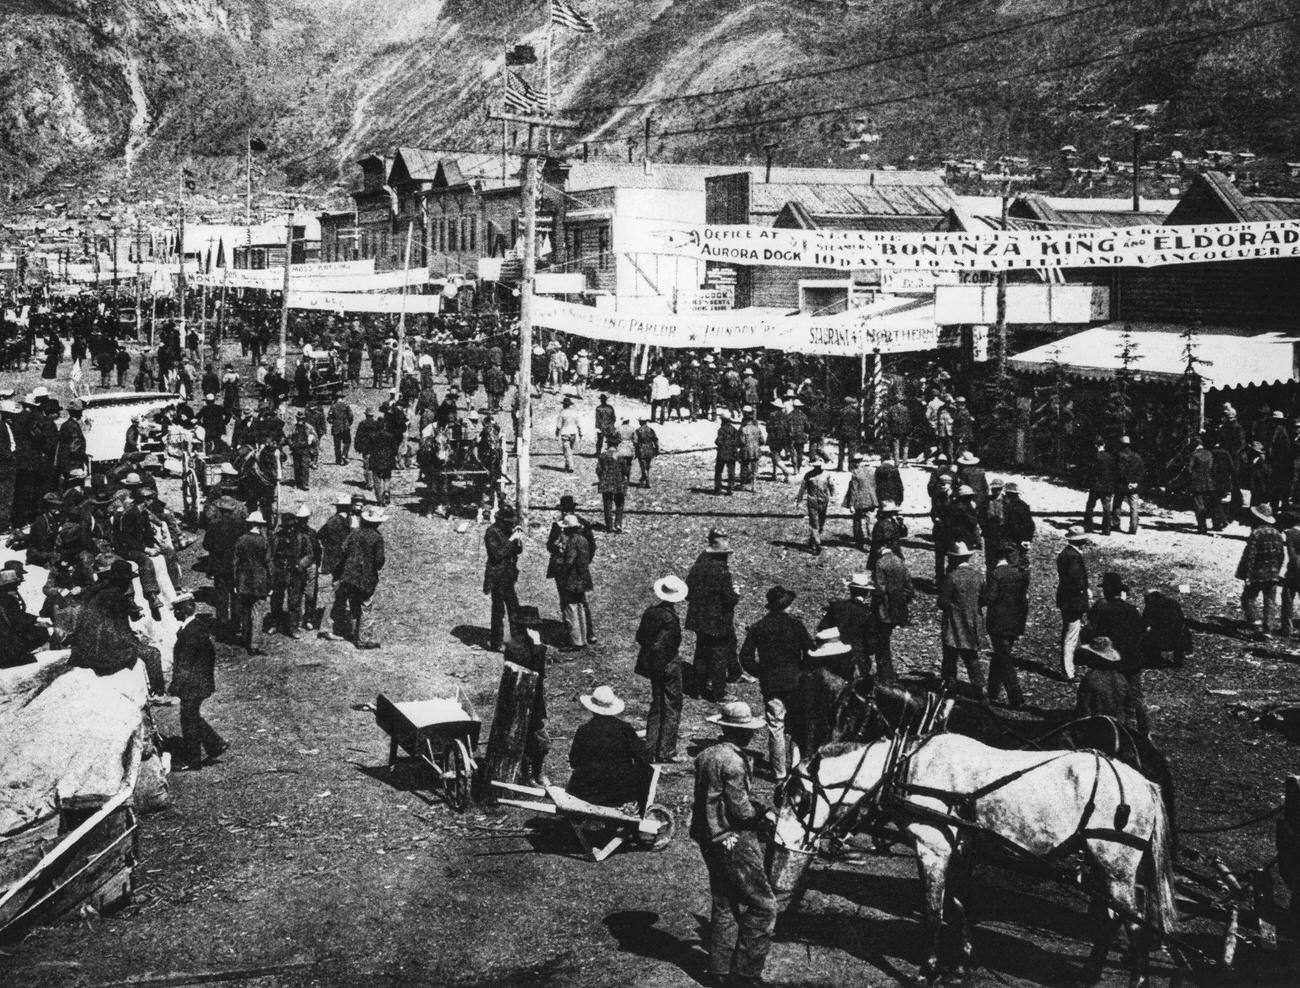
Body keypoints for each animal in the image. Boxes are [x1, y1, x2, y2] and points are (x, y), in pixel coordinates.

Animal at [769, 733, 1180, 987]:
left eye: (799, 798)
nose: (780, 842)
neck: (906, 770)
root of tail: (1145, 784)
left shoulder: (932, 847)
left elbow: (934, 910)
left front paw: (927, 969)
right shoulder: (959, 852)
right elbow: (959, 905)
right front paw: (961, 965)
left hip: (1116, 868)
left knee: (1135, 925)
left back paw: (1135, 977)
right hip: (1099, 866)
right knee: (1112, 919)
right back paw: (1090, 972)